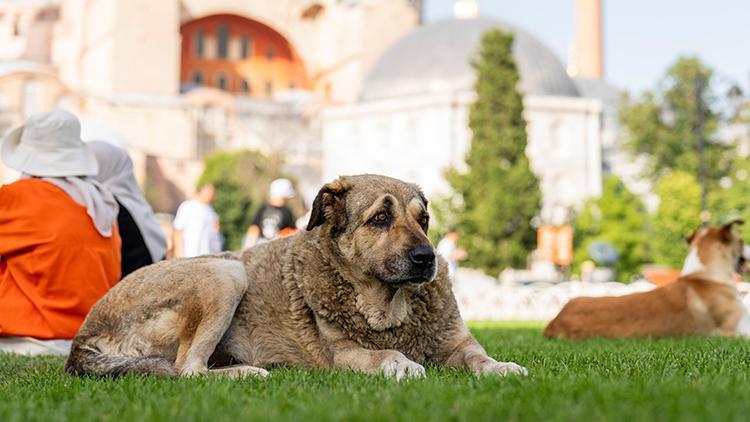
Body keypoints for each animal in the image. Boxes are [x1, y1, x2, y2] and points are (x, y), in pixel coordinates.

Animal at [66, 174, 528, 380]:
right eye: (380, 218)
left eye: (424, 220)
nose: (426, 257)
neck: (390, 307)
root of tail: (81, 339)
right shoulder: (344, 355)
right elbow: (385, 355)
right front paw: (401, 363)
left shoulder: (458, 344)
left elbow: (478, 357)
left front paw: (501, 366)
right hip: (225, 270)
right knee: (187, 370)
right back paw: (244, 375)